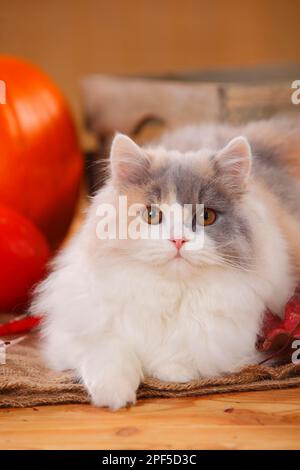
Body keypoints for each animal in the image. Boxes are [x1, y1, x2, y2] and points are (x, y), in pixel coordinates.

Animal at [32, 114, 300, 408]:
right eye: (152, 215)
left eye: (206, 216)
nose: (178, 240)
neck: (169, 293)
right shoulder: (79, 332)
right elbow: (108, 353)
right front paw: (114, 395)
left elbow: (182, 353)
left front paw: (169, 371)